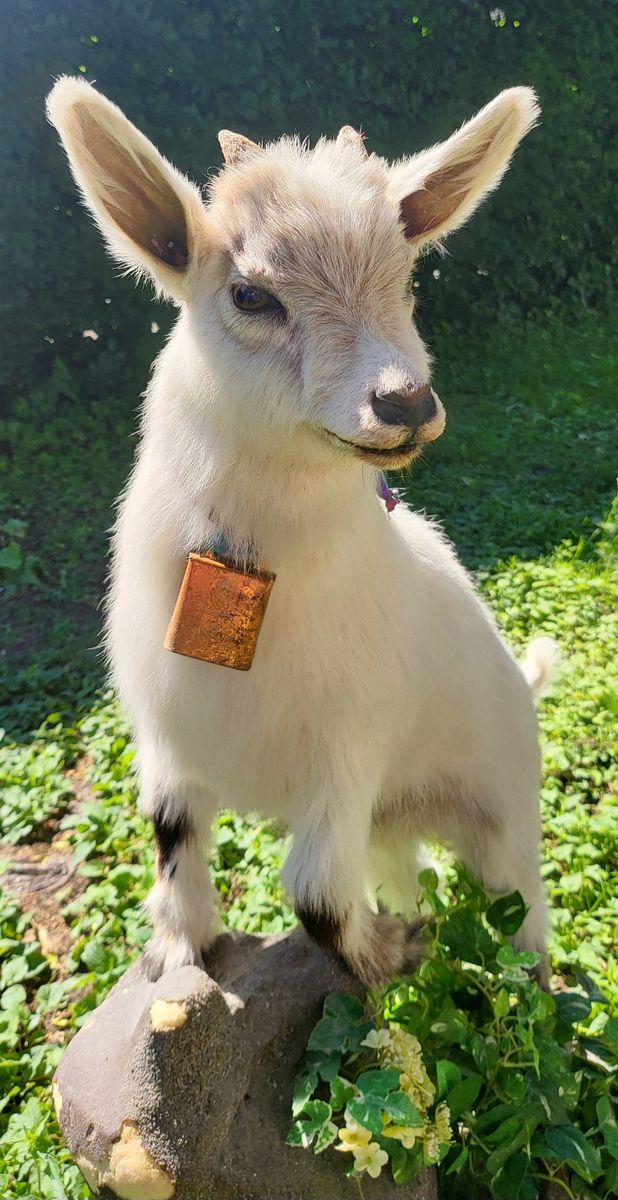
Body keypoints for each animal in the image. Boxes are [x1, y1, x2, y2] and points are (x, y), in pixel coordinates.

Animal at [47, 77, 555, 987]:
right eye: (251, 295)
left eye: (408, 280)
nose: (405, 403)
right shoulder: (168, 743)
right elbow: (173, 834)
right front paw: (178, 951)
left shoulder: (349, 749)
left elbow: (315, 893)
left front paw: (394, 955)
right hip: (390, 825)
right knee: (404, 868)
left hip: (502, 807)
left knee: (520, 912)